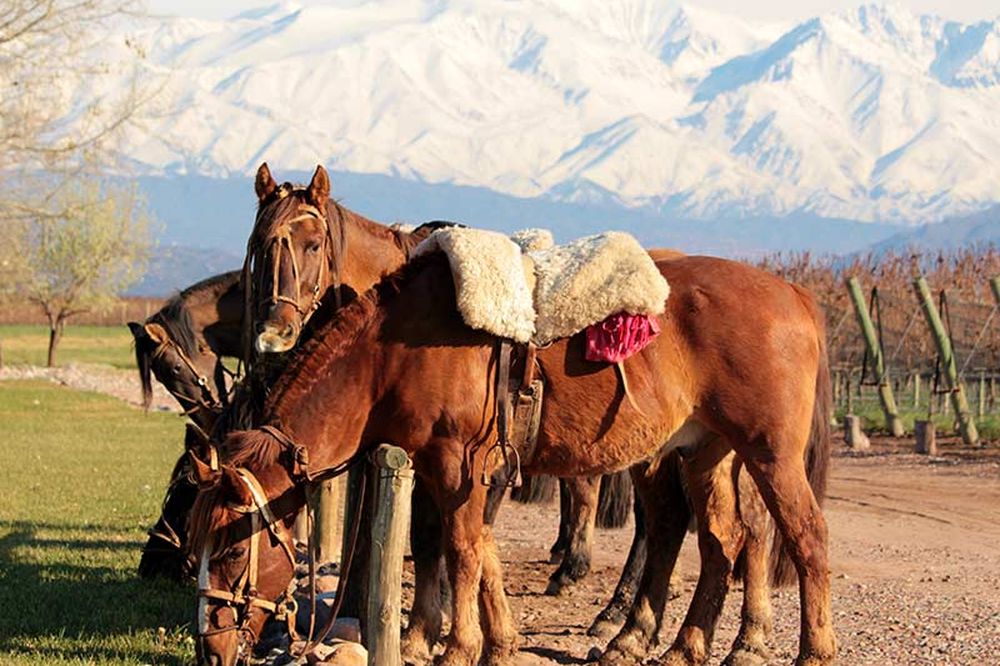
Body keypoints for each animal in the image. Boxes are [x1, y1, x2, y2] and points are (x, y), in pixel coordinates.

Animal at [187, 250, 834, 666]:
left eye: (234, 549)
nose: (210, 648)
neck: (390, 353)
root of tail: (797, 296)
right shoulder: (450, 469)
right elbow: (478, 551)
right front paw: (495, 644)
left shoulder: (456, 463)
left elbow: (460, 549)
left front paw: (456, 647)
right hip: (705, 454)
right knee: (722, 540)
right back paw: (679, 646)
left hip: (769, 455)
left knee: (804, 537)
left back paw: (809, 651)